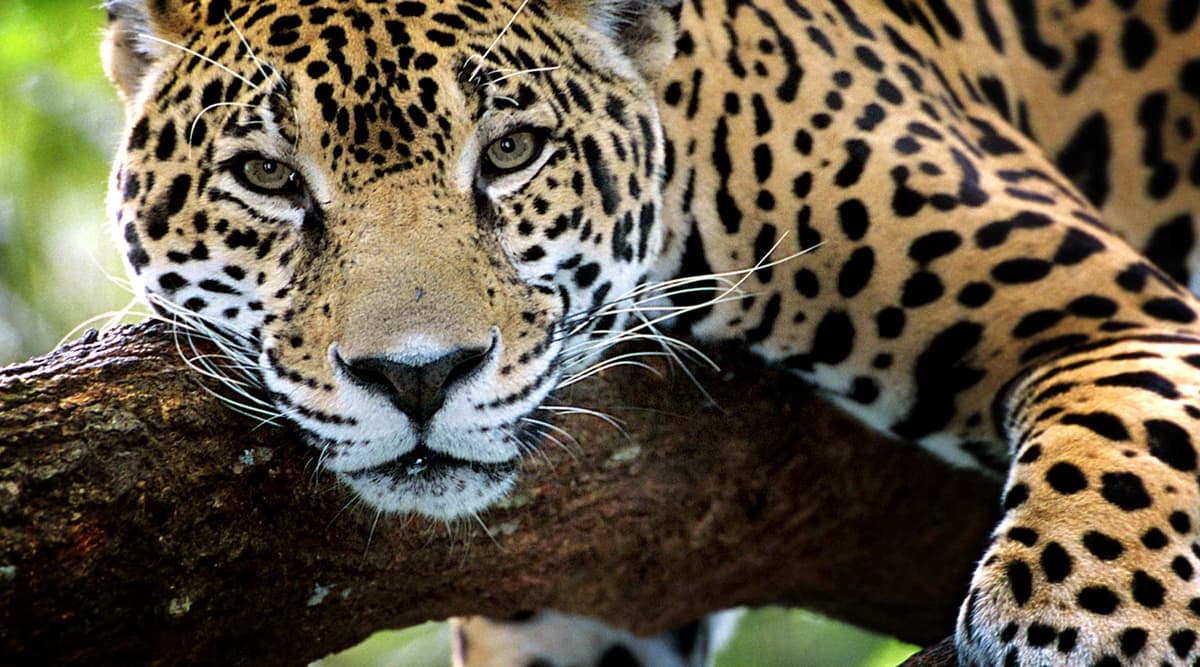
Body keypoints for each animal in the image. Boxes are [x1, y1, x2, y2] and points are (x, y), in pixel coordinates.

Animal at [100, 0, 1200, 664]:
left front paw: (1093, 628)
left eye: (513, 152)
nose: (418, 377)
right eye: (268, 176)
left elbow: (1122, 454)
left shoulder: (1116, 316)